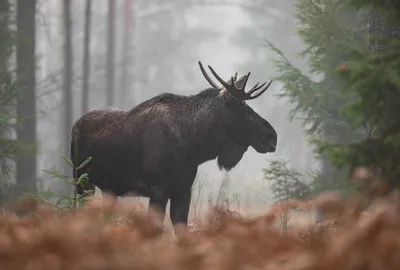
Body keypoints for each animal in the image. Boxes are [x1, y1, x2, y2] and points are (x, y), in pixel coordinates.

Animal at [71, 61, 278, 232]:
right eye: (243, 109)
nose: (272, 137)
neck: (193, 145)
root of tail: (75, 124)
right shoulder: (158, 189)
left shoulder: (183, 189)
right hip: (81, 180)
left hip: (109, 190)